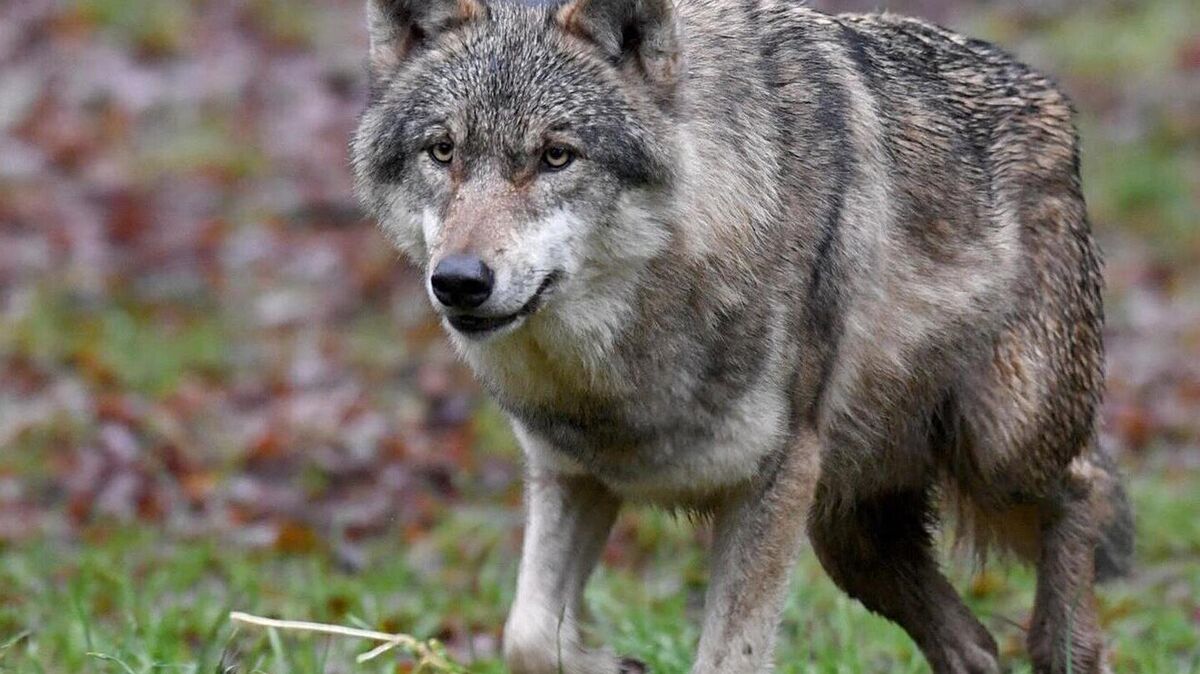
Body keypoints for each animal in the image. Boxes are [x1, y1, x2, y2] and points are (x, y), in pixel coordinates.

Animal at [351, 1, 1134, 672]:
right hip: (849, 535)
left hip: (999, 445)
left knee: (1087, 487)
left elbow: (727, 657)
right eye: (442, 150)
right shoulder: (570, 472)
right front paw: (616, 663)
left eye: (556, 156)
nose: (459, 281)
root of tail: (1052, 97)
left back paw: (1066, 646)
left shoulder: (770, 482)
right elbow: (530, 636)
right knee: (973, 644)